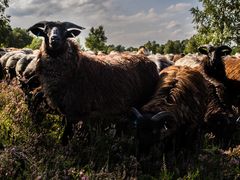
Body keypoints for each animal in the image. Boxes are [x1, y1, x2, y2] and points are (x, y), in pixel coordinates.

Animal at [27, 20, 159, 145]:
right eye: (46, 30)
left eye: (65, 32)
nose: (54, 39)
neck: (75, 70)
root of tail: (148, 61)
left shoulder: (75, 110)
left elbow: (66, 136)